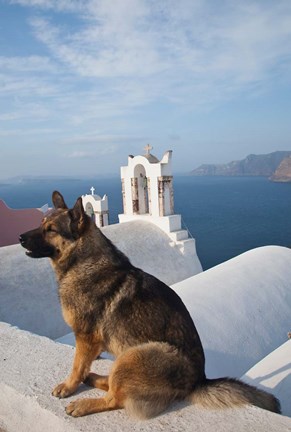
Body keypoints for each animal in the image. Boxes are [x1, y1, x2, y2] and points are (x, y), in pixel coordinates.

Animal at [19, 192, 282, 418]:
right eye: (41, 222)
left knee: (115, 398)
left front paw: (68, 386)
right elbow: (83, 366)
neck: (82, 260)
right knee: (113, 384)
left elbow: (77, 366)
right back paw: (93, 379)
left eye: (51, 230)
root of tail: (197, 381)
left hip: (135, 354)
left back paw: (84, 404)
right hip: (126, 356)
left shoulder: (85, 338)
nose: (20, 238)